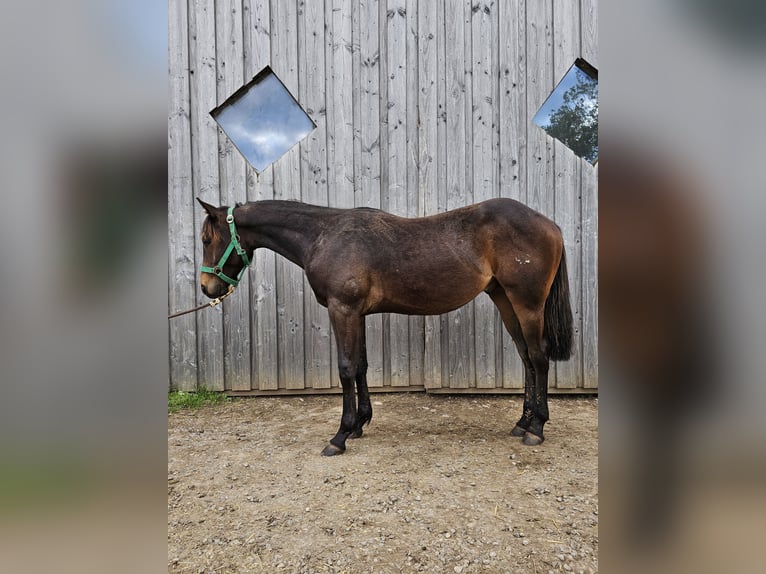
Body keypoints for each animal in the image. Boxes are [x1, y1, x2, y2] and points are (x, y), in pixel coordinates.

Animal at [195, 200, 572, 456]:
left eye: (206, 239)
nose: (206, 288)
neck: (324, 236)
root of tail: (551, 225)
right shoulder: (357, 313)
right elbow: (360, 365)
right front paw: (360, 424)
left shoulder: (343, 310)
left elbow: (346, 368)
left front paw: (340, 435)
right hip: (504, 299)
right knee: (526, 357)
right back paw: (522, 422)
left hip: (527, 304)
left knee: (539, 357)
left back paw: (537, 428)